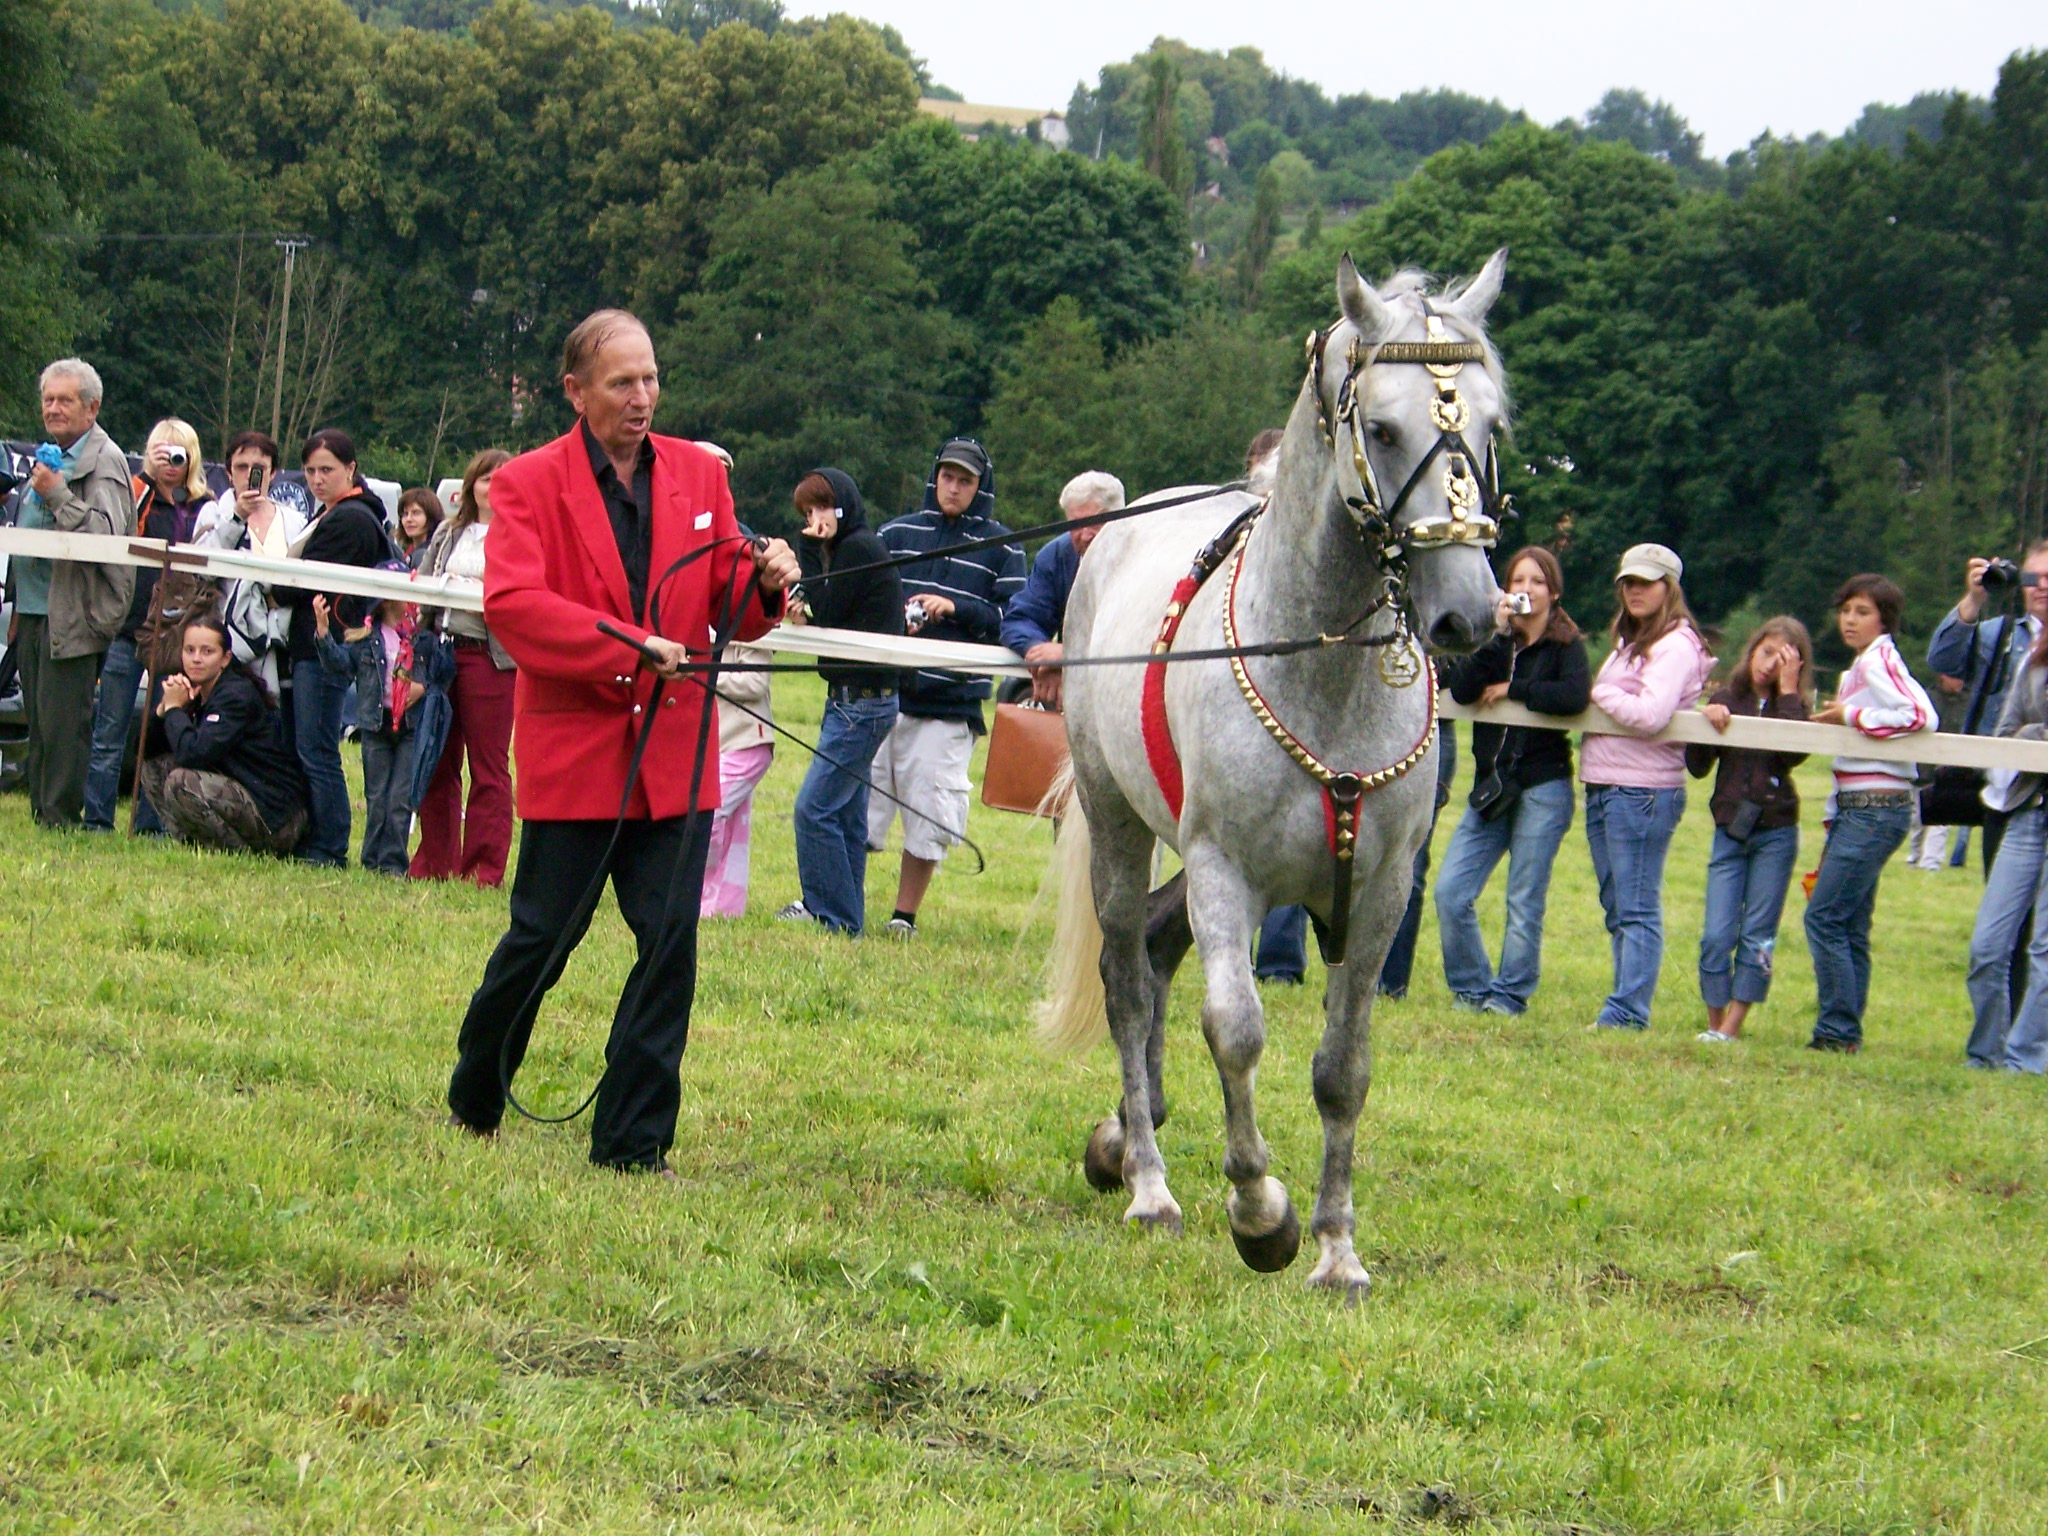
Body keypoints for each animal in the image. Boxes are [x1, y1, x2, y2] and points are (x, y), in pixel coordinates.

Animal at [1040, 252, 1507, 1302]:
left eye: (1492, 427)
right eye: (1384, 428)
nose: (1467, 614)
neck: (1317, 663)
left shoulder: (1379, 897)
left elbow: (1344, 1069)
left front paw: (1337, 1249)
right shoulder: (1227, 873)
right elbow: (1238, 1030)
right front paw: (1260, 1213)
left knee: (1158, 949)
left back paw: (1125, 1135)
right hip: (1119, 821)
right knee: (1129, 975)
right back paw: (1149, 1183)